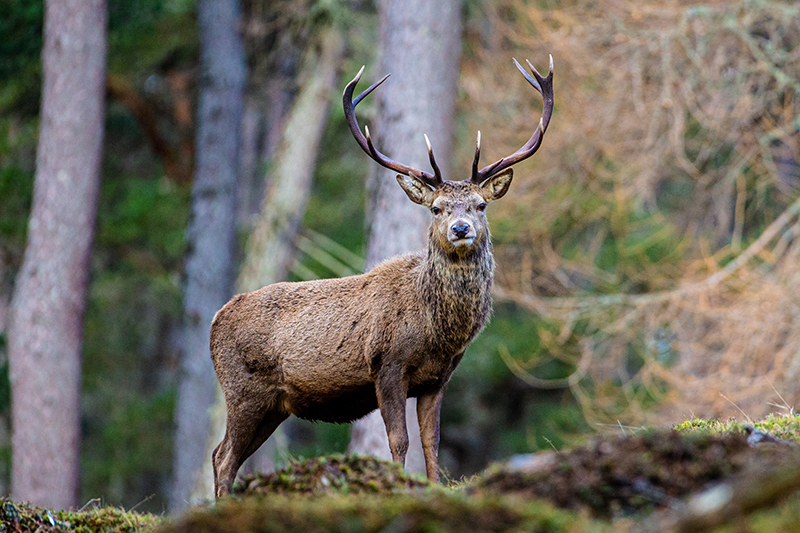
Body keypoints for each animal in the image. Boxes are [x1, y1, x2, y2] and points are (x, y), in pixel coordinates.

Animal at [210, 55, 554, 498]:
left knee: (223, 454)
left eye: (480, 204)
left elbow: (431, 440)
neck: (436, 330)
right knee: (223, 456)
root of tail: (216, 319)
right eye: (437, 208)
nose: (461, 228)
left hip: (273, 405)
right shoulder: (387, 365)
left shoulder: (437, 380)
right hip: (243, 389)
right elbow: (398, 440)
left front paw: (432, 487)